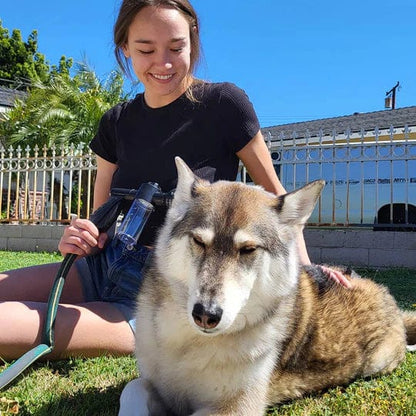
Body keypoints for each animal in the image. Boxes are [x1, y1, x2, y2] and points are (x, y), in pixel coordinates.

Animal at [118, 157, 416, 416]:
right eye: (200, 242)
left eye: (248, 249)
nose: (206, 314)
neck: (191, 344)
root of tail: (381, 290)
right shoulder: (156, 385)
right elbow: (133, 388)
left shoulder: (236, 408)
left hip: (378, 363)